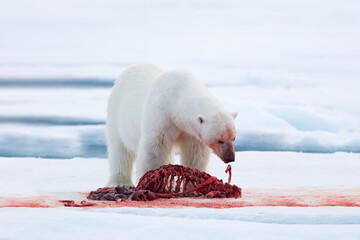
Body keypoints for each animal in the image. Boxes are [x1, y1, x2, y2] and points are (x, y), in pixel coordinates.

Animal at [105, 63, 238, 188]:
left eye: (233, 138)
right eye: (220, 141)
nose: (230, 158)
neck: (177, 94)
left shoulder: (191, 132)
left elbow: (195, 153)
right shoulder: (161, 116)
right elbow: (155, 148)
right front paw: (151, 181)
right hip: (116, 112)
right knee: (120, 150)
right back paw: (120, 182)